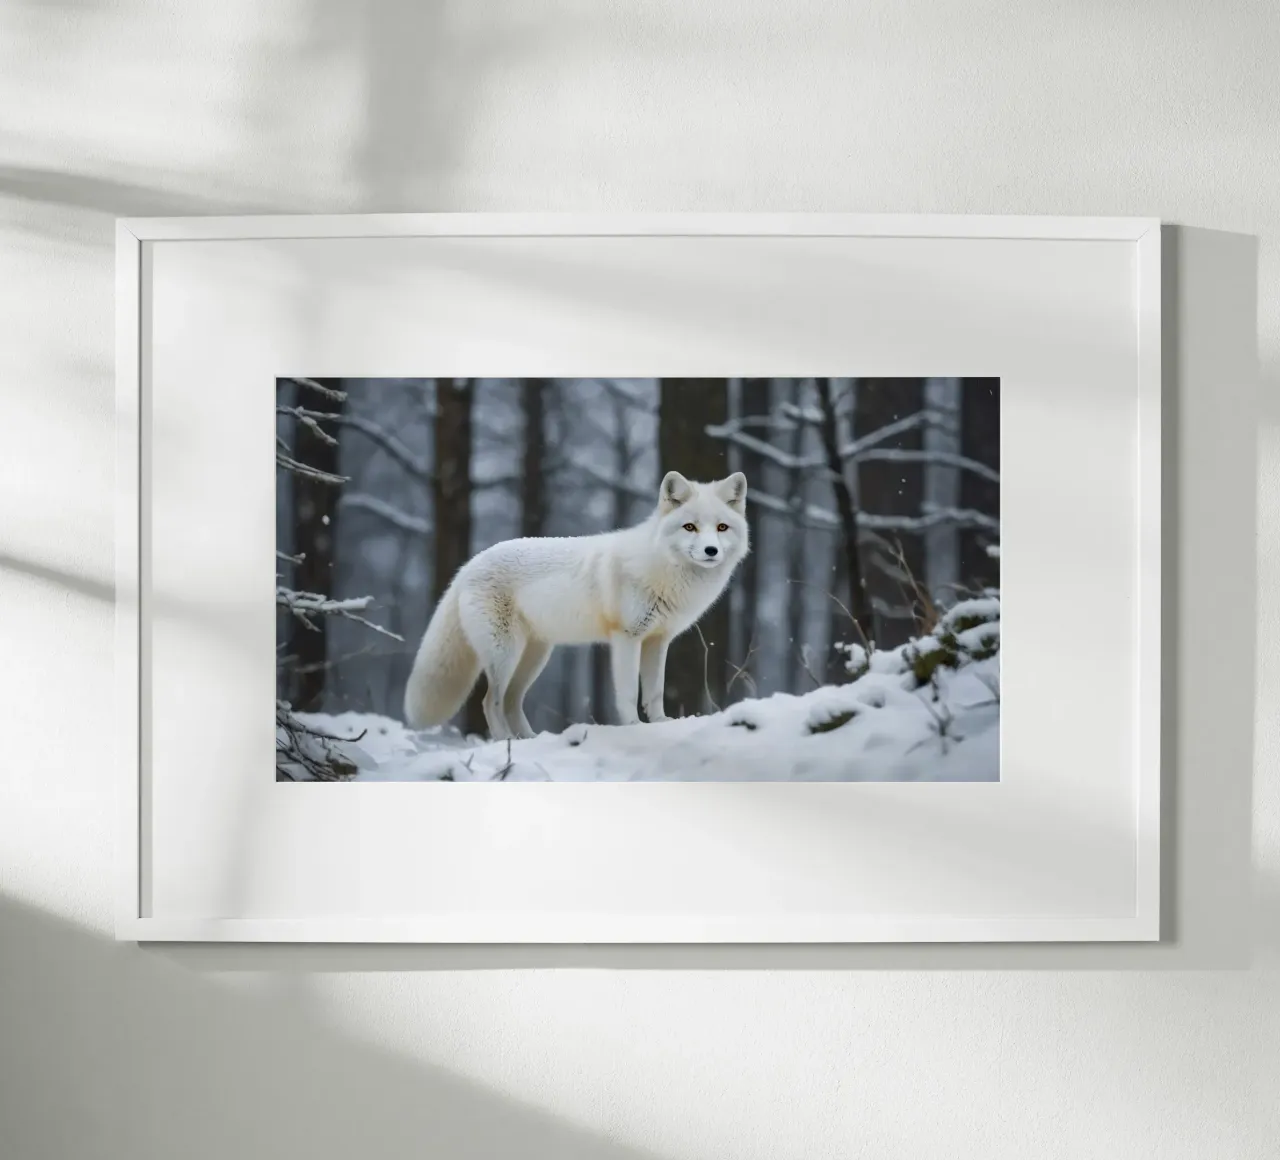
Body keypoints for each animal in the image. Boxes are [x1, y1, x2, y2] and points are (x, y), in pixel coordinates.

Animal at [403, 469, 750, 740]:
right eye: (690, 527)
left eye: (722, 528)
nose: (710, 551)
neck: (661, 569)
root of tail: (468, 566)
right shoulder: (627, 638)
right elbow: (628, 693)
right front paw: (634, 727)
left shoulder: (658, 640)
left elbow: (654, 693)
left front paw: (662, 724)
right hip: (505, 654)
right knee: (490, 702)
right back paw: (506, 742)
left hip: (534, 657)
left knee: (512, 701)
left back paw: (530, 739)